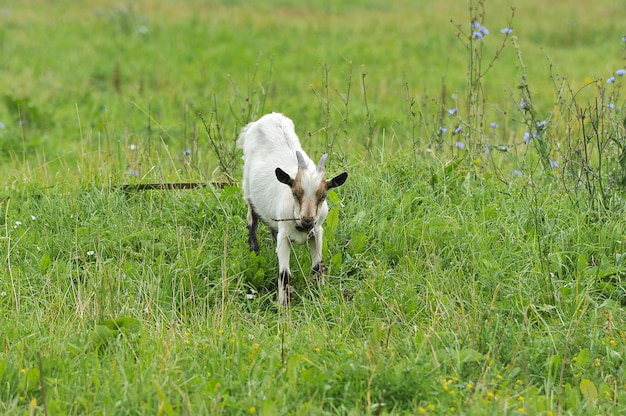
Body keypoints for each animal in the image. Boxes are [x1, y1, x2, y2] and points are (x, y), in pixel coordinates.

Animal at [236, 112, 348, 304]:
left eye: (323, 196)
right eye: (295, 193)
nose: (307, 220)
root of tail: (268, 117)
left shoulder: (316, 233)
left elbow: (318, 267)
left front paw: (320, 295)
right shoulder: (285, 238)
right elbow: (284, 274)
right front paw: (283, 304)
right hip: (248, 190)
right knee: (252, 220)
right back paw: (254, 252)